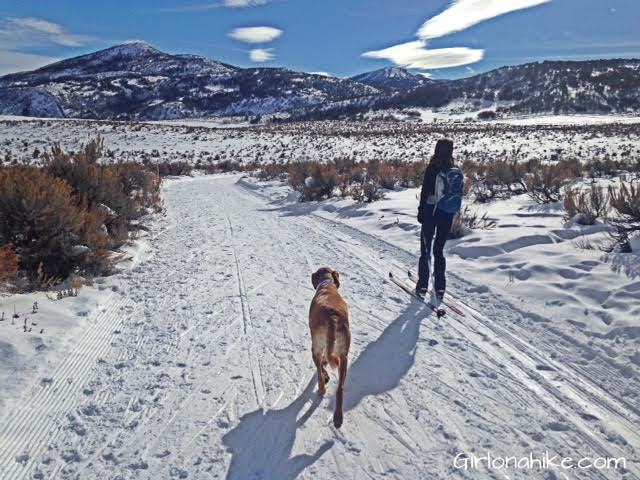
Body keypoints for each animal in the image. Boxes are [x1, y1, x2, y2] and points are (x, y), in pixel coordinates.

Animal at [308, 266, 350, 428]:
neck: (327, 283)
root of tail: (333, 318)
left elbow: (321, 367)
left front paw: (325, 376)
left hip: (316, 347)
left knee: (319, 371)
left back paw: (321, 389)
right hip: (344, 357)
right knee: (340, 388)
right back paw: (338, 416)